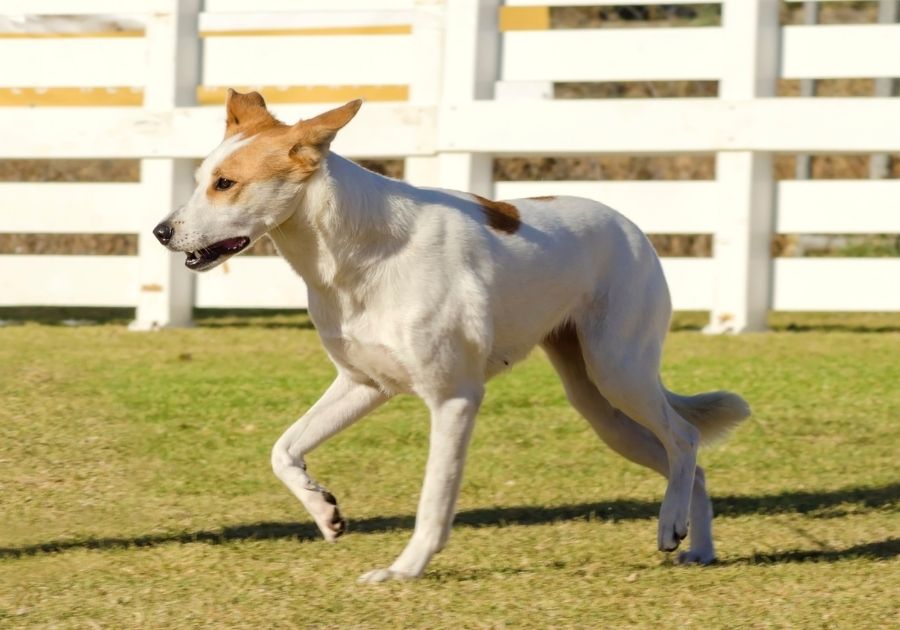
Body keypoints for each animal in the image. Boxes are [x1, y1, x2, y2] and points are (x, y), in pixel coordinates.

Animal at [155, 91, 752, 584]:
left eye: (225, 184)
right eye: (199, 179)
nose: (161, 232)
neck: (359, 250)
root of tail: (633, 229)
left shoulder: (454, 399)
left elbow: (434, 499)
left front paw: (404, 570)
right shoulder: (363, 384)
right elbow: (283, 449)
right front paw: (324, 511)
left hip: (619, 371)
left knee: (684, 438)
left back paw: (671, 524)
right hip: (600, 409)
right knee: (692, 463)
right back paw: (696, 546)